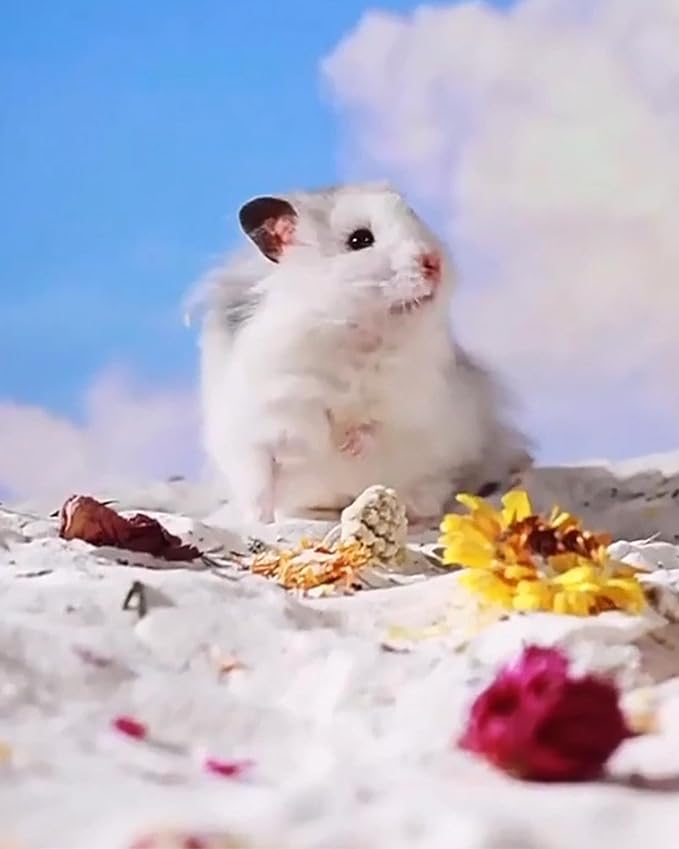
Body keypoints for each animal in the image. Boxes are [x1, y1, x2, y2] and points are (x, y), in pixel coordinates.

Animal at [196, 182, 532, 525]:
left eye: (416, 218)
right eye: (360, 240)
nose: (434, 262)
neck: (350, 331)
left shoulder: (412, 399)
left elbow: (376, 423)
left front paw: (349, 445)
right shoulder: (263, 418)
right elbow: (264, 475)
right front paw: (260, 522)